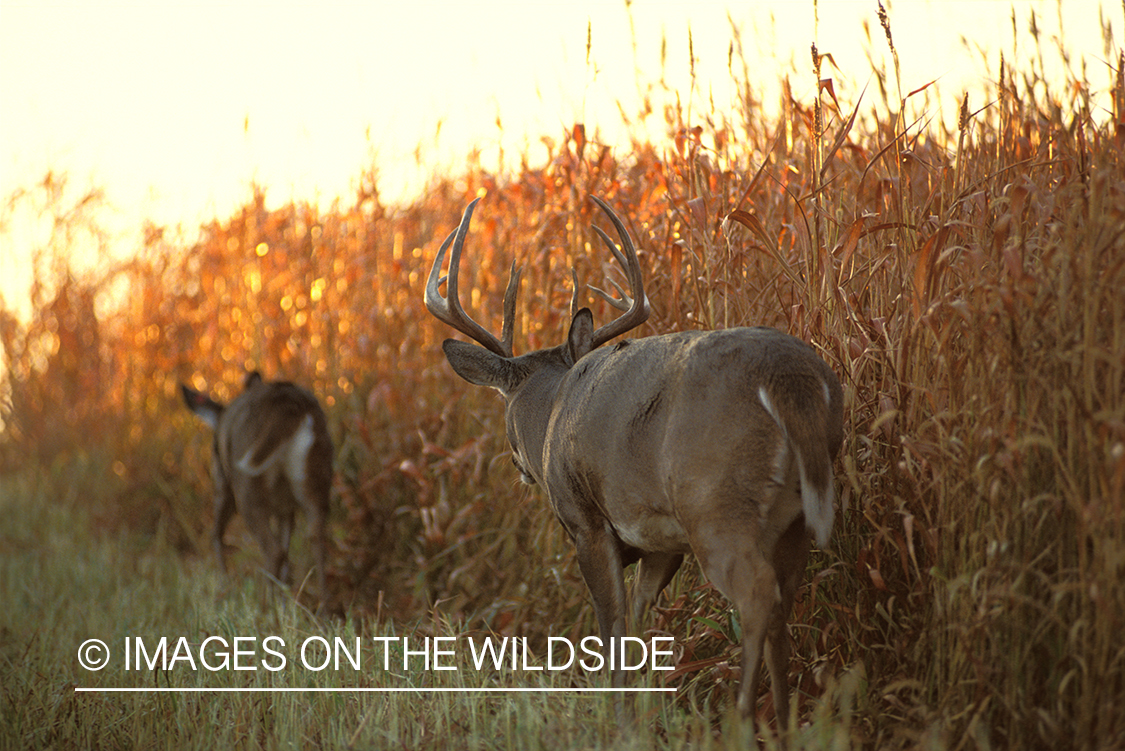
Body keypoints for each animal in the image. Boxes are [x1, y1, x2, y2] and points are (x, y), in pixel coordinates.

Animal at [181, 371, 333, 599]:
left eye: (215, 448)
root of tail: (291, 403)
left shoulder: (225, 484)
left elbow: (216, 534)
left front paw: (224, 583)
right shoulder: (285, 509)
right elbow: (287, 556)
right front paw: (284, 599)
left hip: (245, 489)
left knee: (271, 550)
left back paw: (263, 603)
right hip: (316, 478)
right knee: (317, 540)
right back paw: (322, 605)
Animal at [425, 196, 844, 739]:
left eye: (504, 403)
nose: (519, 463)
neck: (552, 410)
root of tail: (790, 379)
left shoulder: (586, 521)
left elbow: (613, 622)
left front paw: (616, 717)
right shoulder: (661, 543)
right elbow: (641, 620)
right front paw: (641, 713)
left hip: (717, 502)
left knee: (756, 595)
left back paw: (743, 719)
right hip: (792, 519)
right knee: (782, 603)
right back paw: (784, 723)